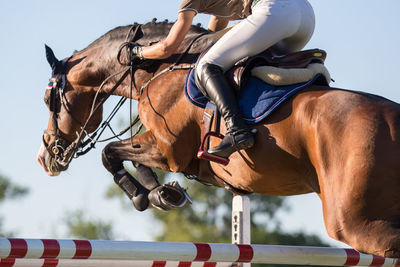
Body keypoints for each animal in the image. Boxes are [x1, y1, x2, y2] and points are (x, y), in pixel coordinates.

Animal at [37, 19, 400, 258]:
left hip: (354, 221)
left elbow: (110, 153)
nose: (46, 158)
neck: (160, 69)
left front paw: (146, 196)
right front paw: (164, 193)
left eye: (48, 99)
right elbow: (120, 156)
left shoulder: (167, 149)